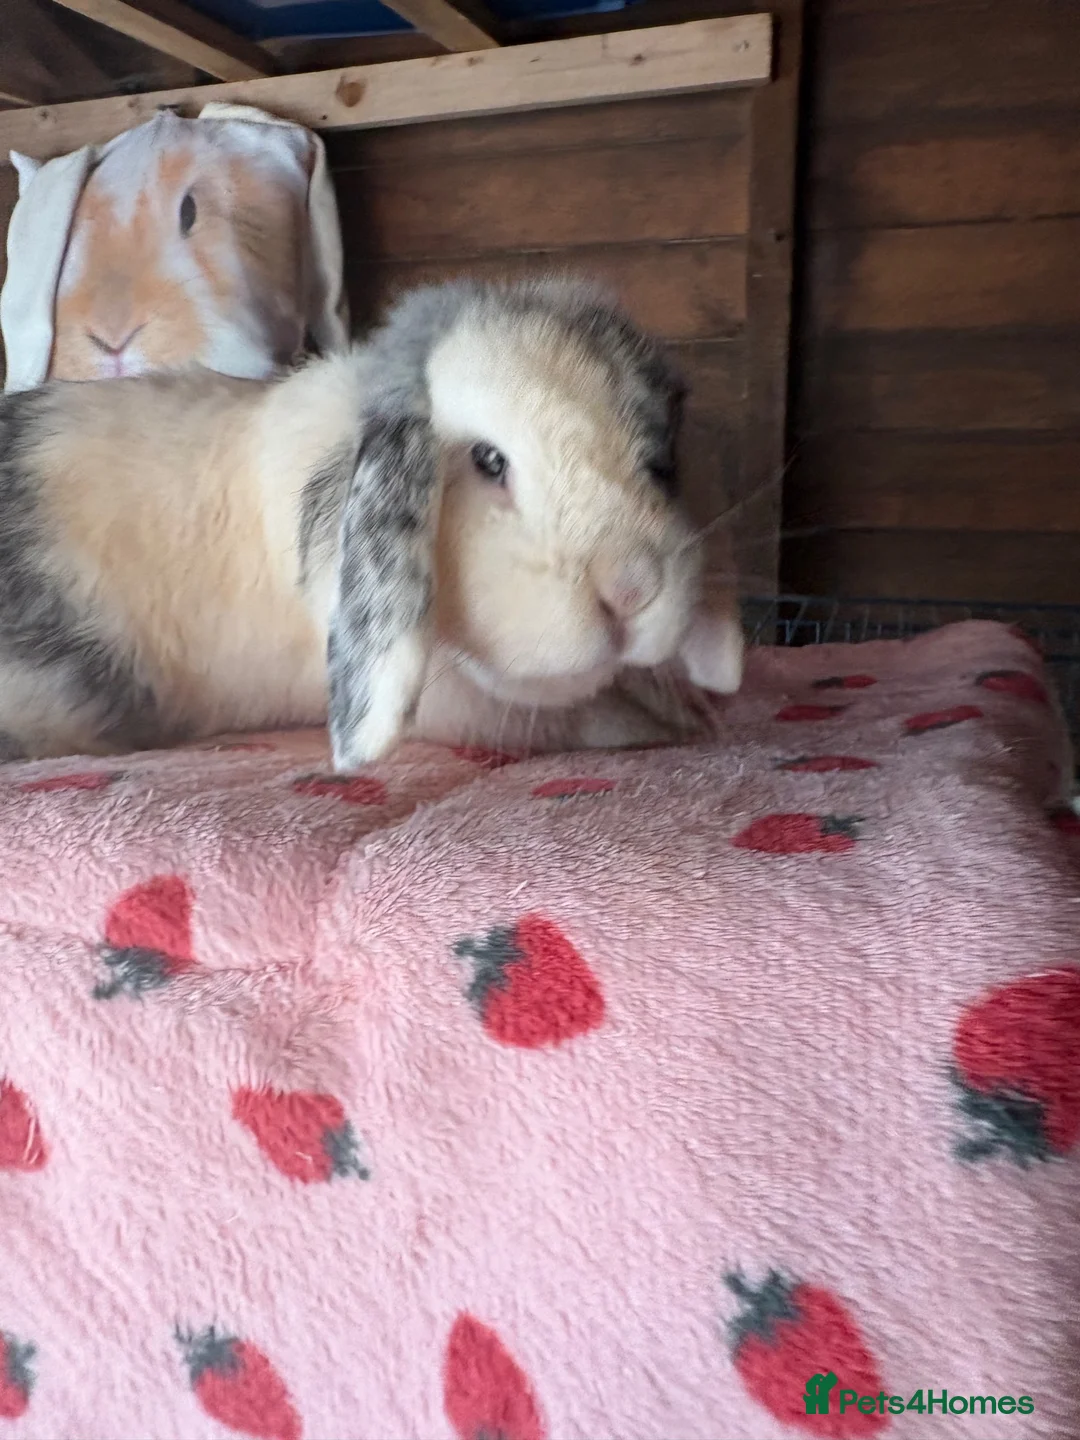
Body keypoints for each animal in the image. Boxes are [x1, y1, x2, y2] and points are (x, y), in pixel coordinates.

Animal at [0, 276, 743, 768]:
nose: (631, 588)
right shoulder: (462, 706)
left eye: (660, 460)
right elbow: (574, 719)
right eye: (488, 460)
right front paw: (674, 726)